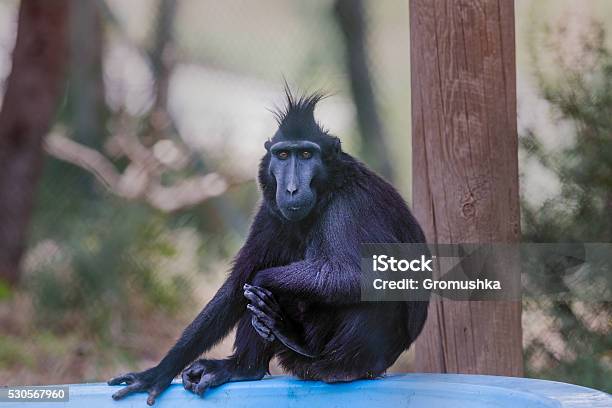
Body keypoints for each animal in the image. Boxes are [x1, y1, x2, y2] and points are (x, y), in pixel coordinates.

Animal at [107, 89, 428, 404]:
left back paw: (326, 359)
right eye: (283, 155)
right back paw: (244, 366)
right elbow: (236, 285)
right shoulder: (269, 210)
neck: (328, 190)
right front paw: (157, 373)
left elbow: (360, 275)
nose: (291, 189)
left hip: (351, 354)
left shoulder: (350, 205)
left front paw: (264, 283)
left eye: (307, 154)